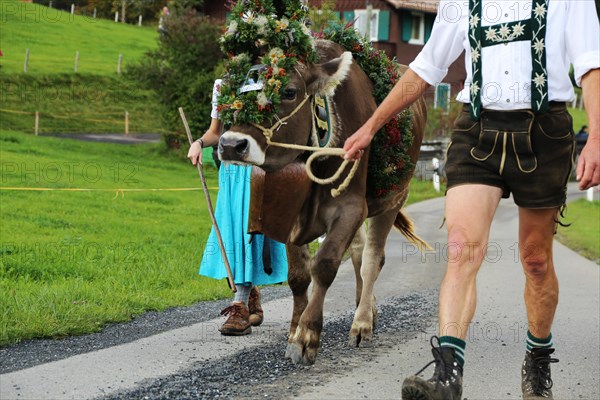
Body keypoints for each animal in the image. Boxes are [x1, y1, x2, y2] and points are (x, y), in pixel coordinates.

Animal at [218, 39, 424, 364]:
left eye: (289, 92)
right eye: (232, 88)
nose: (230, 145)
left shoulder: (352, 207)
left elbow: (325, 264)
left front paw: (307, 335)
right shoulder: (289, 212)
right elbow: (298, 276)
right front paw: (293, 331)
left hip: (393, 198)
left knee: (372, 260)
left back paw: (362, 322)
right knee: (358, 253)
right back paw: (367, 306)